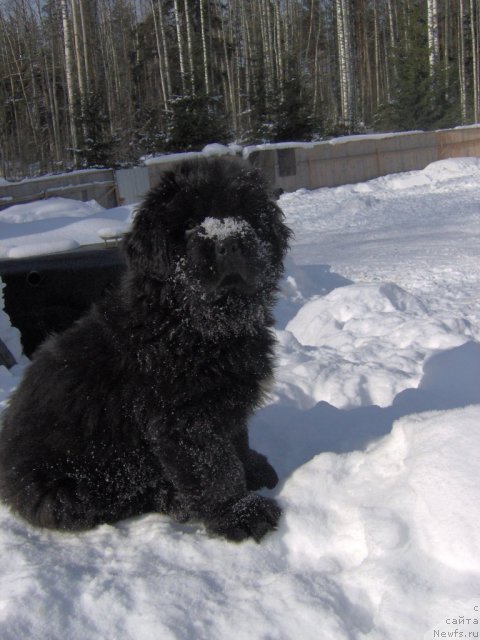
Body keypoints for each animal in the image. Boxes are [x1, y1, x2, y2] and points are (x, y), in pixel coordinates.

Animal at [0, 155, 292, 540]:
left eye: (242, 212)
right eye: (188, 224)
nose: (228, 241)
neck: (192, 324)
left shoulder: (224, 399)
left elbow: (236, 439)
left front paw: (253, 469)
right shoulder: (184, 417)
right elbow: (215, 469)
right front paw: (241, 513)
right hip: (70, 487)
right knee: (115, 499)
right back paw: (173, 499)